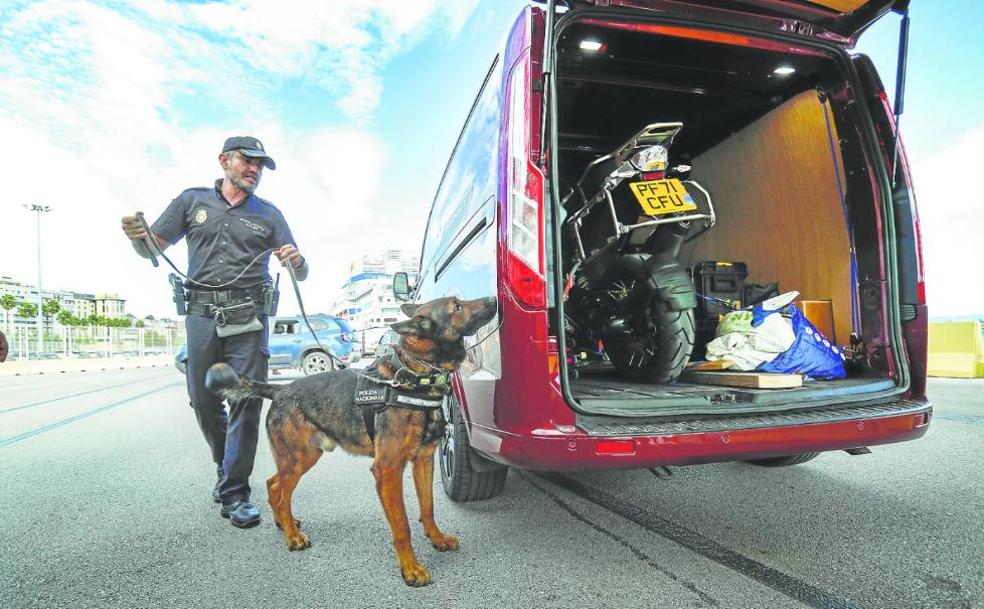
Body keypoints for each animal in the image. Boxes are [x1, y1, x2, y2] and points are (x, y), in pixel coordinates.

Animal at [209, 294, 500, 584]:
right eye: (457, 306)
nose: (493, 299)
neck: (416, 375)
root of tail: (279, 390)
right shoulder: (388, 470)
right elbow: (402, 525)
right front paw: (410, 568)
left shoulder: (423, 462)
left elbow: (428, 508)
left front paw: (437, 539)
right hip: (297, 460)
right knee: (281, 495)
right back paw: (292, 536)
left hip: (304, 457)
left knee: (273, 485)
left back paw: (284, 523)